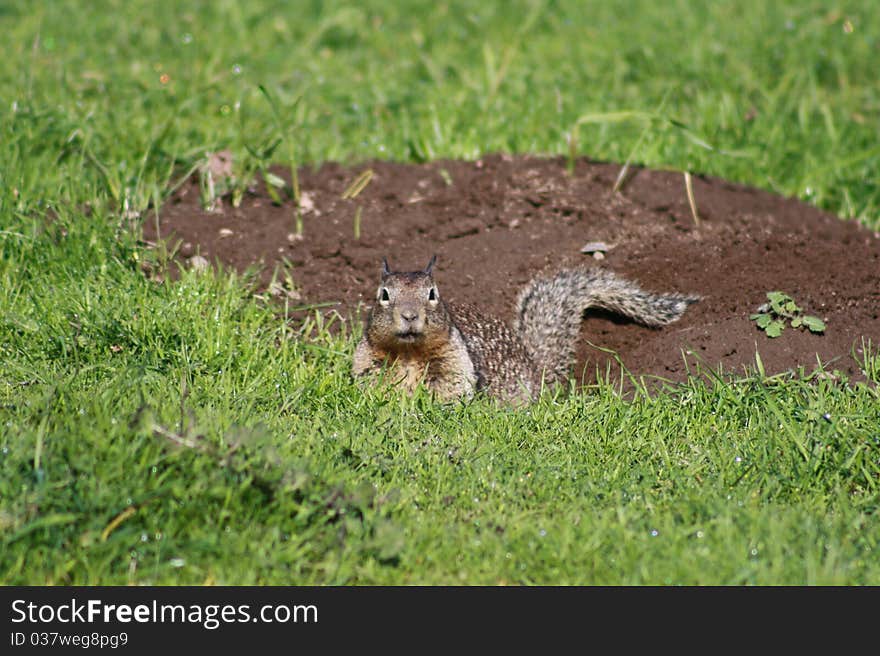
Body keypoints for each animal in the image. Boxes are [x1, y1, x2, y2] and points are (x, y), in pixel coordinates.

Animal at [350, 258, 696, 404]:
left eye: (433, 293)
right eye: (384, 294)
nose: (409, 315)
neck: (409, 353)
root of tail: (534, 367)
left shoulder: (455, 363)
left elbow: (449, 390)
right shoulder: (368, 361)